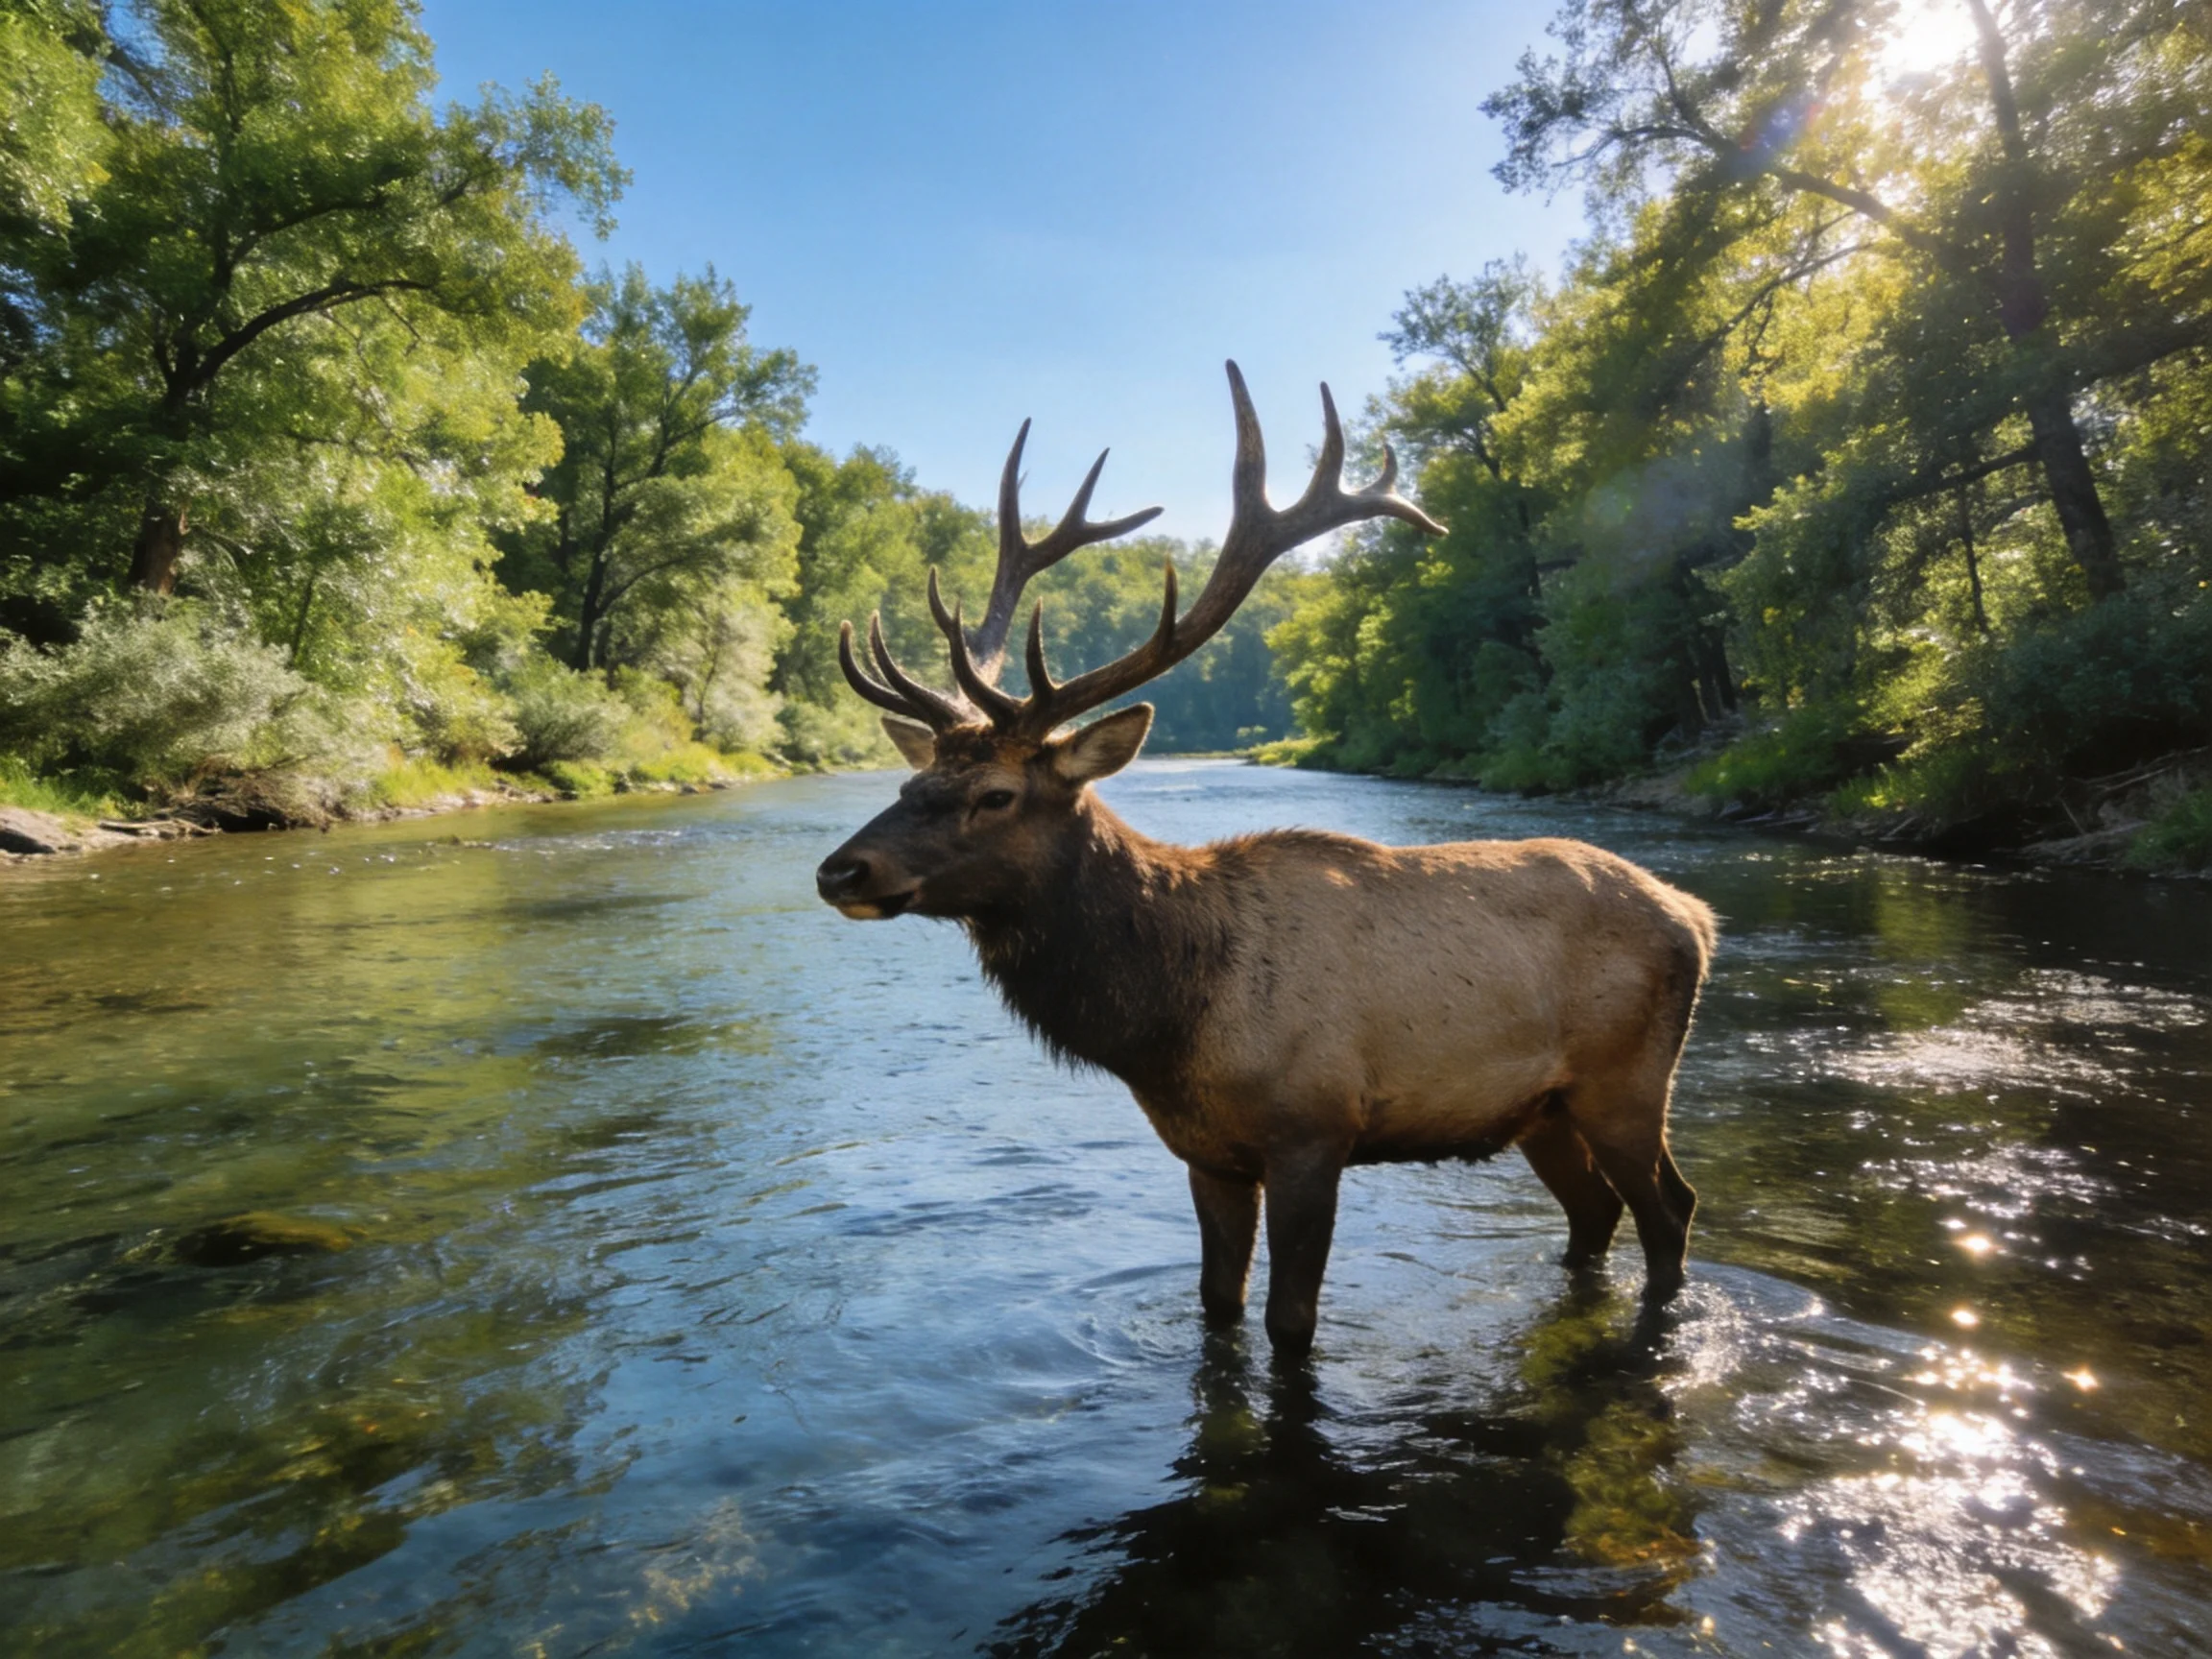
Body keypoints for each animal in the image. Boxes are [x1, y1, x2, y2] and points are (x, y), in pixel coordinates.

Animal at [815, 362, 1717, 1353]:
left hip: (1625, 1081)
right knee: (1597, 1213)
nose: (841, 871)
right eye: (912, 782)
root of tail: (1697, 916)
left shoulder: (1313, 1133)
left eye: (996, 795)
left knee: (1671, 1209)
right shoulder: (1207, 1153)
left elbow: (1290, 1323)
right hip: (1542, 1110)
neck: (1171, 1022)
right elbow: (1217, 1304)